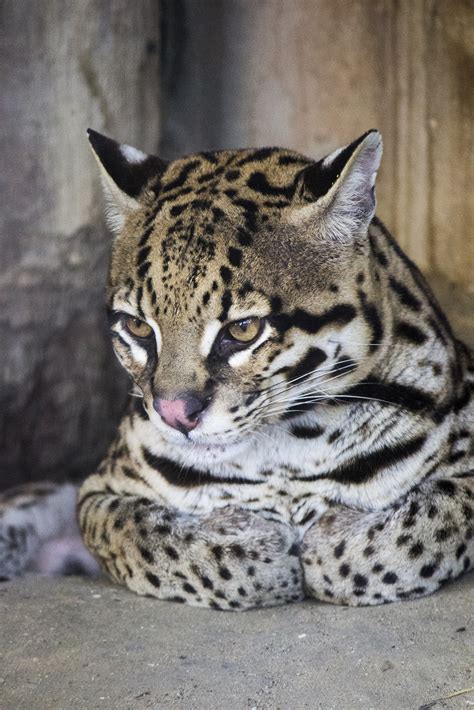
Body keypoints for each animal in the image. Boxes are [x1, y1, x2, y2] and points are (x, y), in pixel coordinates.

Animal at [1, 129, 472, 612]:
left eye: (243, 329)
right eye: (137, 327)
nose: (175, 414)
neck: (285, 449)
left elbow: (427, 528)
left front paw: (329, 540)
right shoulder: (99, 490)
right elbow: (147, 538)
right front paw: (258, 550)